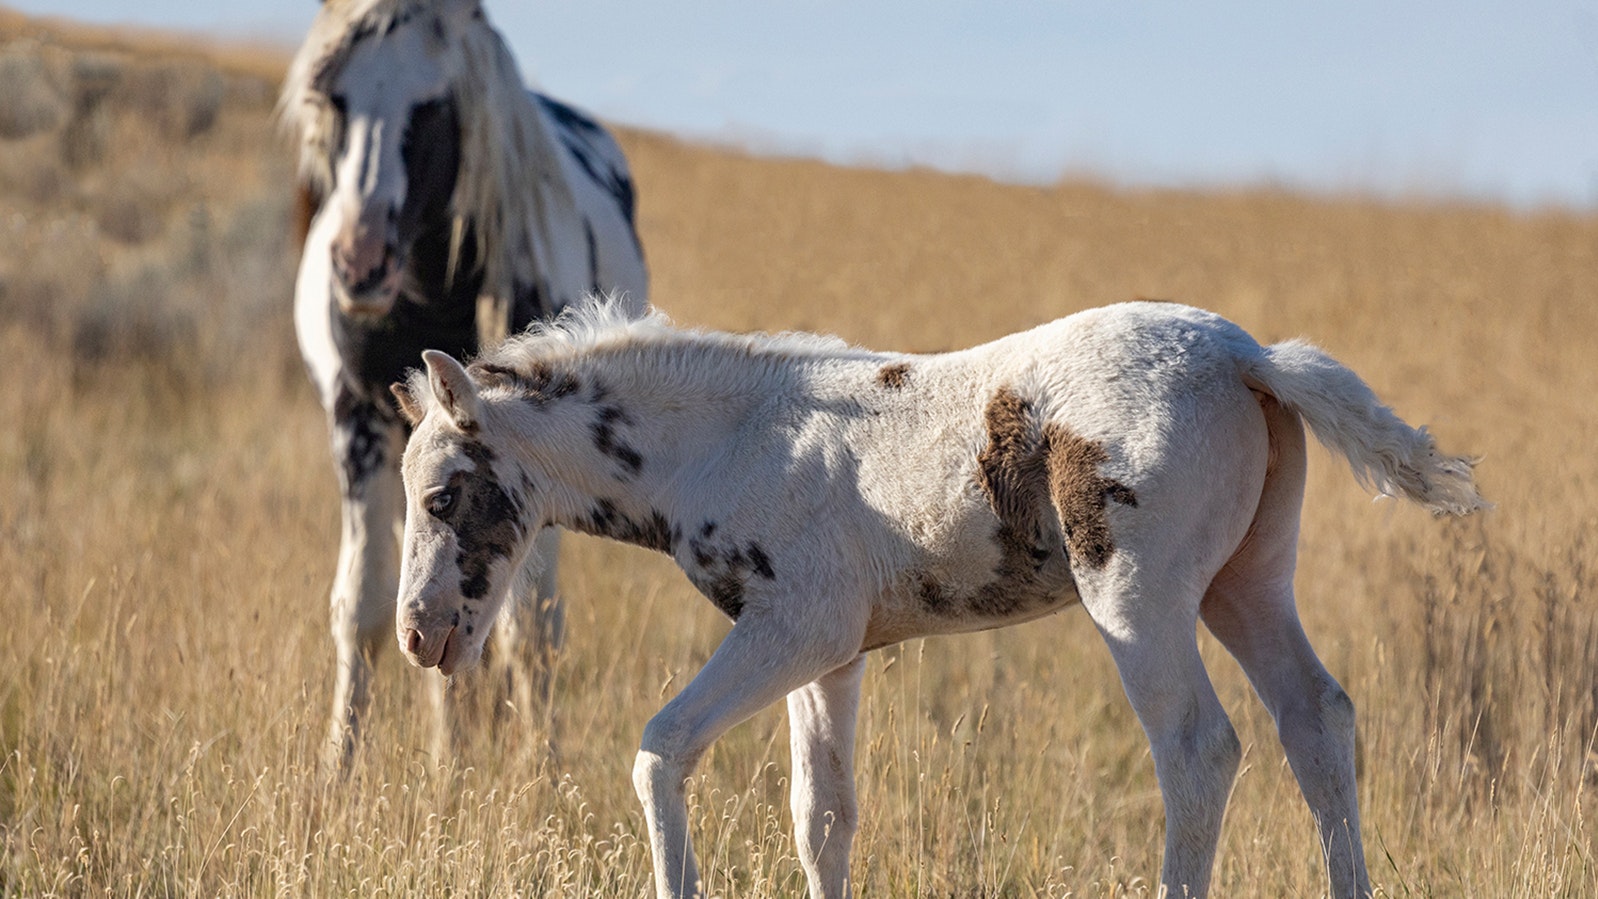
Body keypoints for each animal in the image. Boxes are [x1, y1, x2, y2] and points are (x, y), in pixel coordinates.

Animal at [280, 0, 647, 768]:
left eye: (433, 107)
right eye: (335, 98)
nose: (359, 261)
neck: (430, 291)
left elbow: (527, 628)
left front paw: (542, 773)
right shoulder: (359, 424)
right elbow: (366, 607)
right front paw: (340, 767)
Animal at [389, 299, 1485, 899]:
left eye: (441, 496)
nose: (416, 634)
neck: (733, 435)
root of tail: (1248, 356)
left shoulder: (794, 627)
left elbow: (662, 747)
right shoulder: (831, 654)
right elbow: (822, 815)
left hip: (1137, 597)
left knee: (1198, 751)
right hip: (1244, 584)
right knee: (1316, 720)